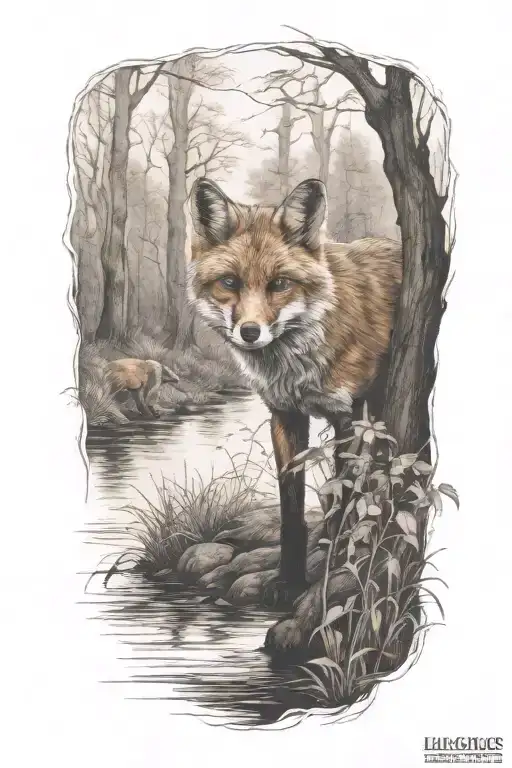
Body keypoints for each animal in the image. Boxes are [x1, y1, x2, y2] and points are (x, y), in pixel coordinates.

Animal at [188, 176, 403, 599]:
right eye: (230, 283)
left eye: (280, 284)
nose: (250, 332)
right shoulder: (285, 415)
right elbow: (291, 510)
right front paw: (289, 580)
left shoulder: (352, 416)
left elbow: (345, 498)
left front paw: (338, 561)